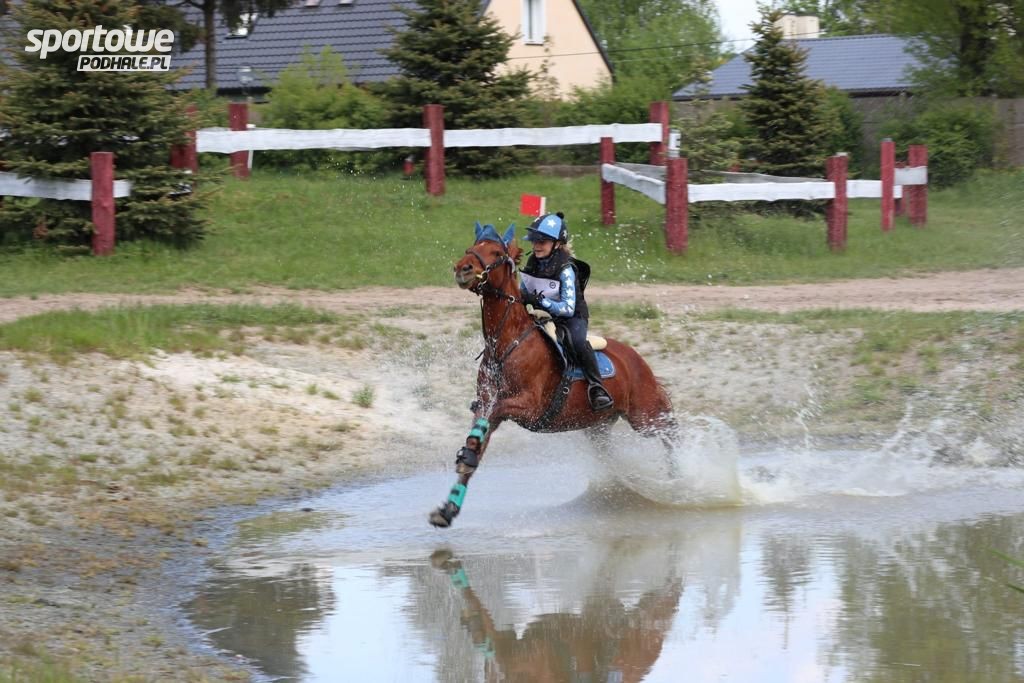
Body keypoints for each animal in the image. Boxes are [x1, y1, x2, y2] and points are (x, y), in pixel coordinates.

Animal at [429, 223, 677, 528]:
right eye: (471, 248)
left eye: (496, 252)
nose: (462, 268)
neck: (507, 344)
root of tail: (637, 358)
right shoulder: (486, 401)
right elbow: (479, 436)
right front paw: (449, 506)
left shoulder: (530, 407)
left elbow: (494, 413)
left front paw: (469, 451)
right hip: (599, 426)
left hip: (643, 415)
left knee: (671, 432)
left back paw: (681, 477)